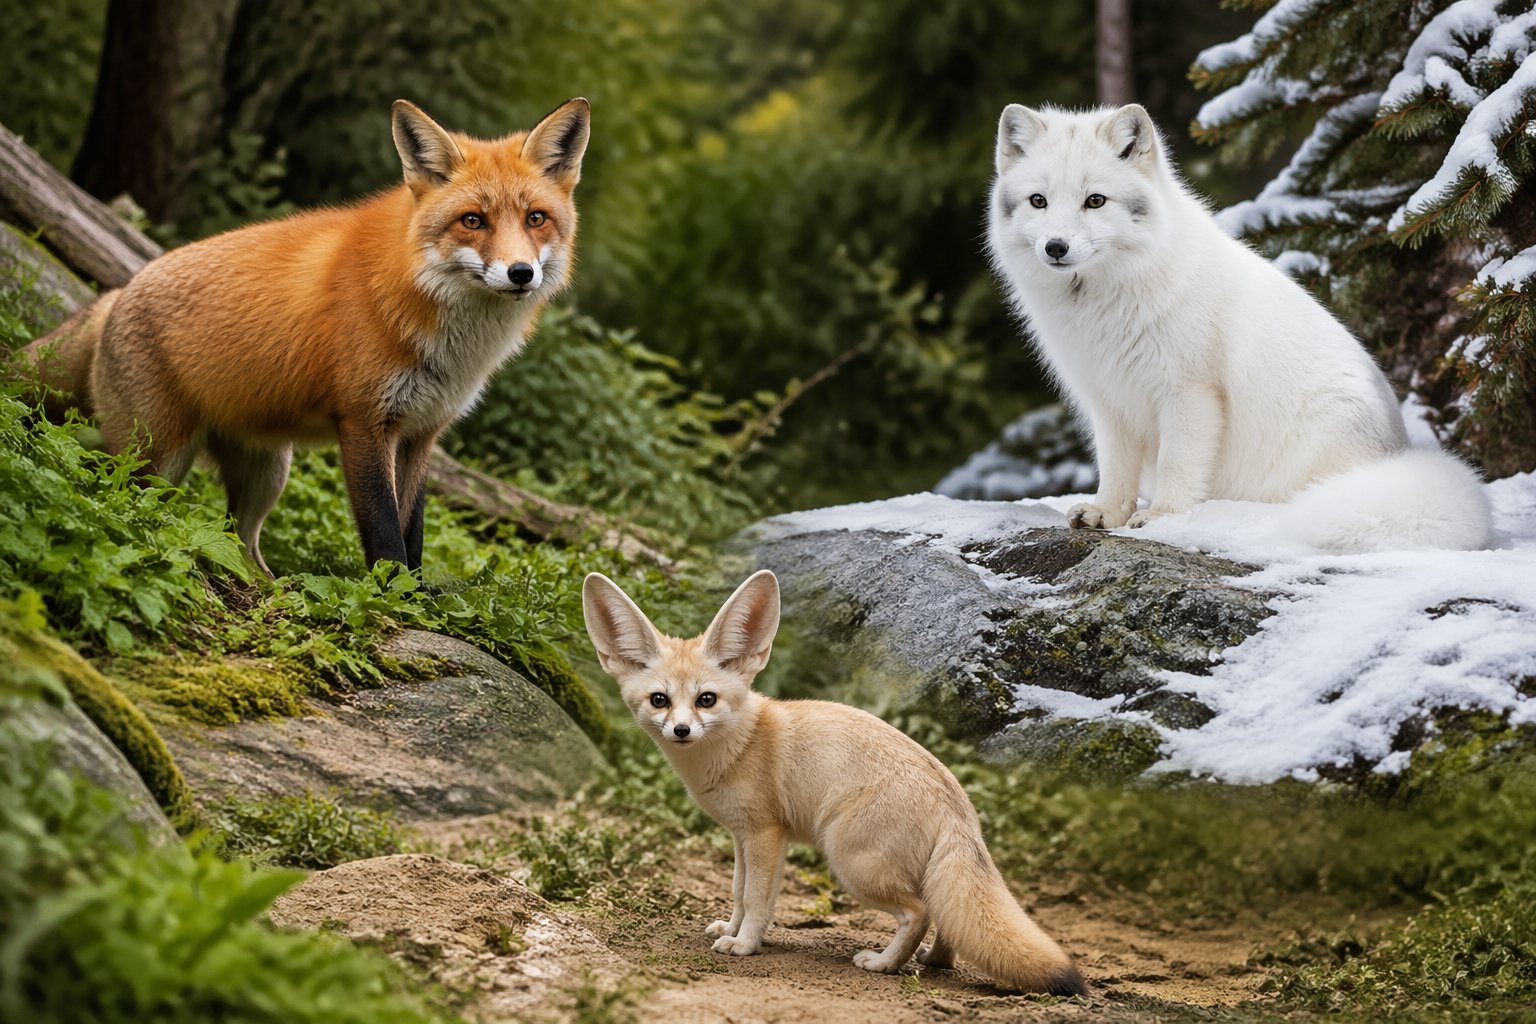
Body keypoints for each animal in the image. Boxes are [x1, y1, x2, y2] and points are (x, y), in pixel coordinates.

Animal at [18, 98, 591, 575]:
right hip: (154, 458)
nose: (520, 273)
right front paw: (397, 600)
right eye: (473, 220)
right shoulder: (364, 422)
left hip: (267, 473)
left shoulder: (422, 432)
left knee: (240, 541)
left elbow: (414, 530)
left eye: (535, 218)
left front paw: (421, 595)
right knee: (124, 505)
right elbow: (385, 533)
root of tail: (119, 290)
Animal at [581, 569, 1088, 996]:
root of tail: (958, 803)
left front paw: (744, 945)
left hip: (850, 864)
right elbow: (740, 894)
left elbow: (757, 899)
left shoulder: (765, 835)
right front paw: (731, 928)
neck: (741, 743)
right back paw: (934, 961)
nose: (682, 730)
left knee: (920, 912)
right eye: (660, 700)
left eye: (706, 699)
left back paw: (884, 964)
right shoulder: (745, 836)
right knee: (944, 916)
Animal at [986, 103, 1492, 553]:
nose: (1055, 247)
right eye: (1038, 201)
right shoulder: (1110, 400)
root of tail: (1397, 453)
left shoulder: (1189, 393)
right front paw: (1105, 513)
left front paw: (1162, 516)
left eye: (1095, 201)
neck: (1105, 301)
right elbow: (1114, 469)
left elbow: (1176, 464)